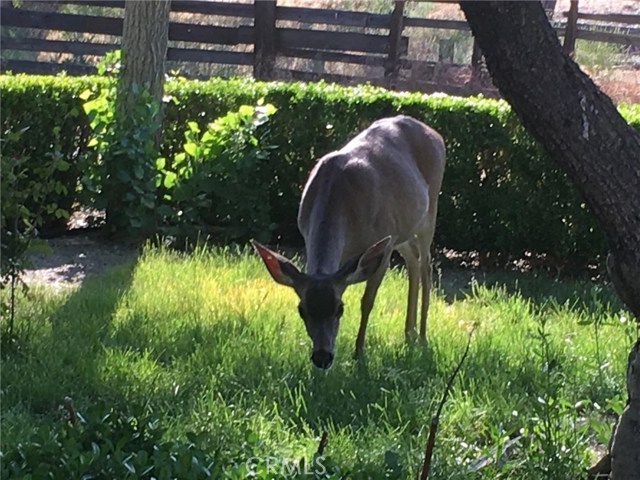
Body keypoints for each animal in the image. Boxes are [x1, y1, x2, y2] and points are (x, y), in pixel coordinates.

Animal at [251, 114, 444, 370]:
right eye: (302, 310)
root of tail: (436, 135)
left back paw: (421, 336)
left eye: (340, 309)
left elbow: (367, 301)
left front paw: (358, 353)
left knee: (426, 264)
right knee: (413, 259)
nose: (322, 357)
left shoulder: (383, 241)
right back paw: (408, 333)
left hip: (429, 211)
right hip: (403, 228)